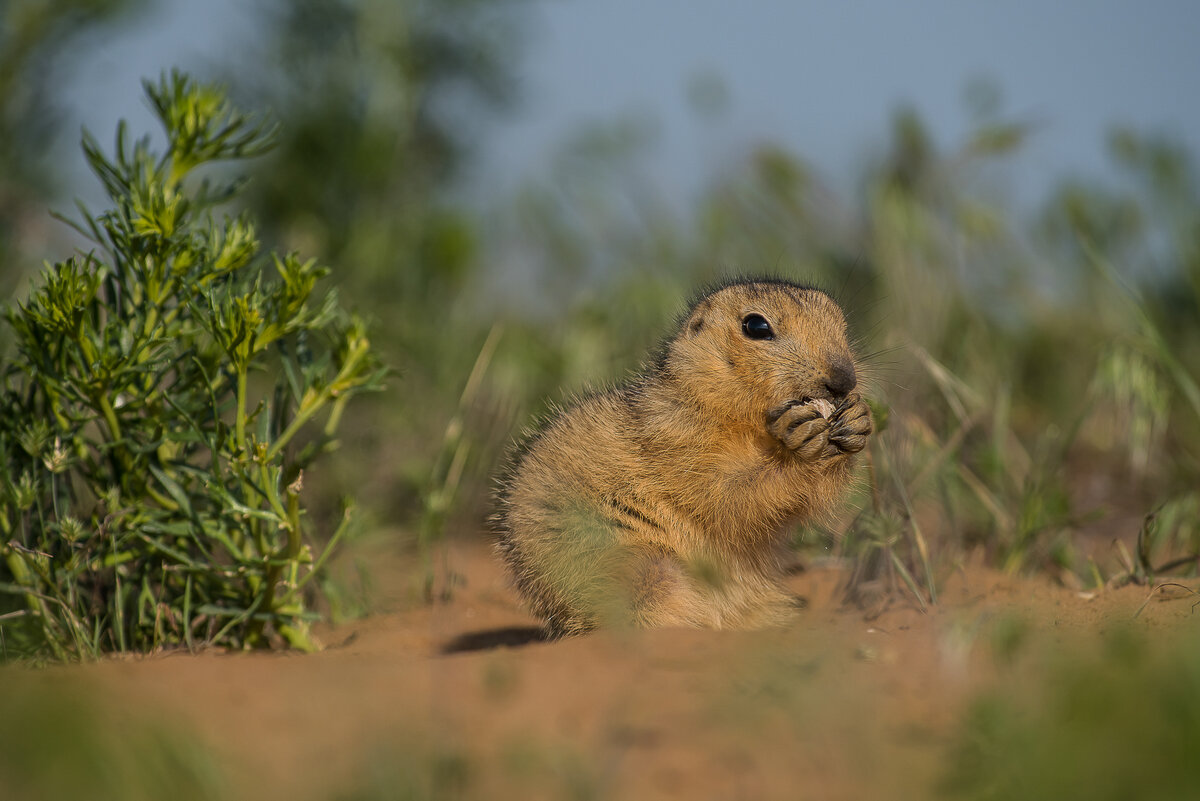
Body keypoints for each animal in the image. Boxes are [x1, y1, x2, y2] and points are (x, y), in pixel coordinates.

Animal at [492, 278, 868, 633]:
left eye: (842, 324)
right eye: (756, 326)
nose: (843, 380)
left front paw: (858, 420)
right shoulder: (677, 441)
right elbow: (726, 495)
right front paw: (798, 440)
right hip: (641, 570)